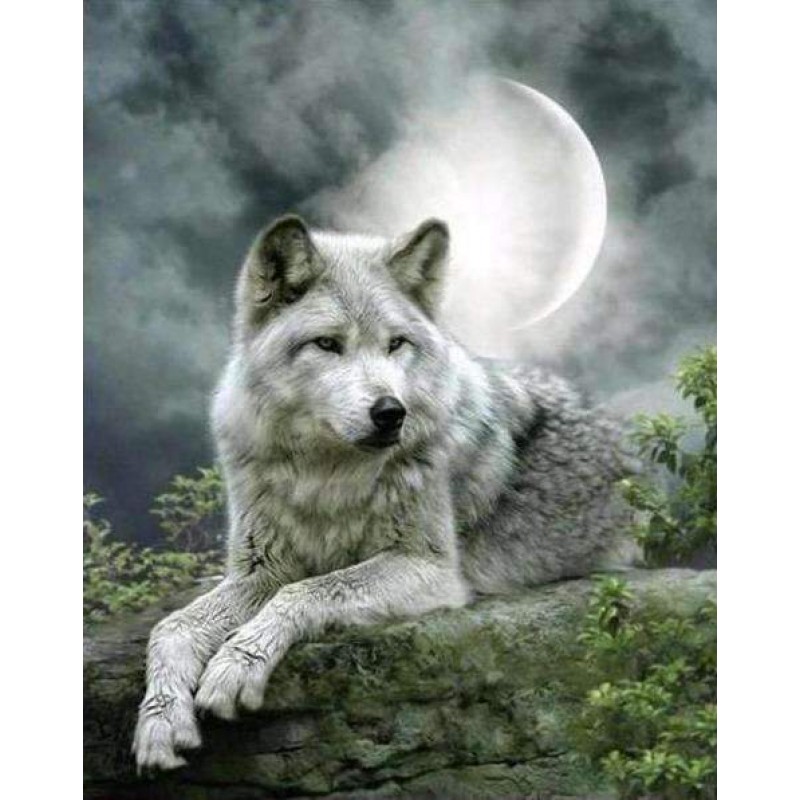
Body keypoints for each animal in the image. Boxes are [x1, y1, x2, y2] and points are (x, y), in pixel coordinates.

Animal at [133, 214, 637, 770]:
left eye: (396, 344)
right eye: (328, 344)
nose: (391, 412)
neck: (326, 476)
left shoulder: (429, 568)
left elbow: (306, 591)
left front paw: (234, 666)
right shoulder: (260, 571)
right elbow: (171, 627)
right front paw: (160, 722)